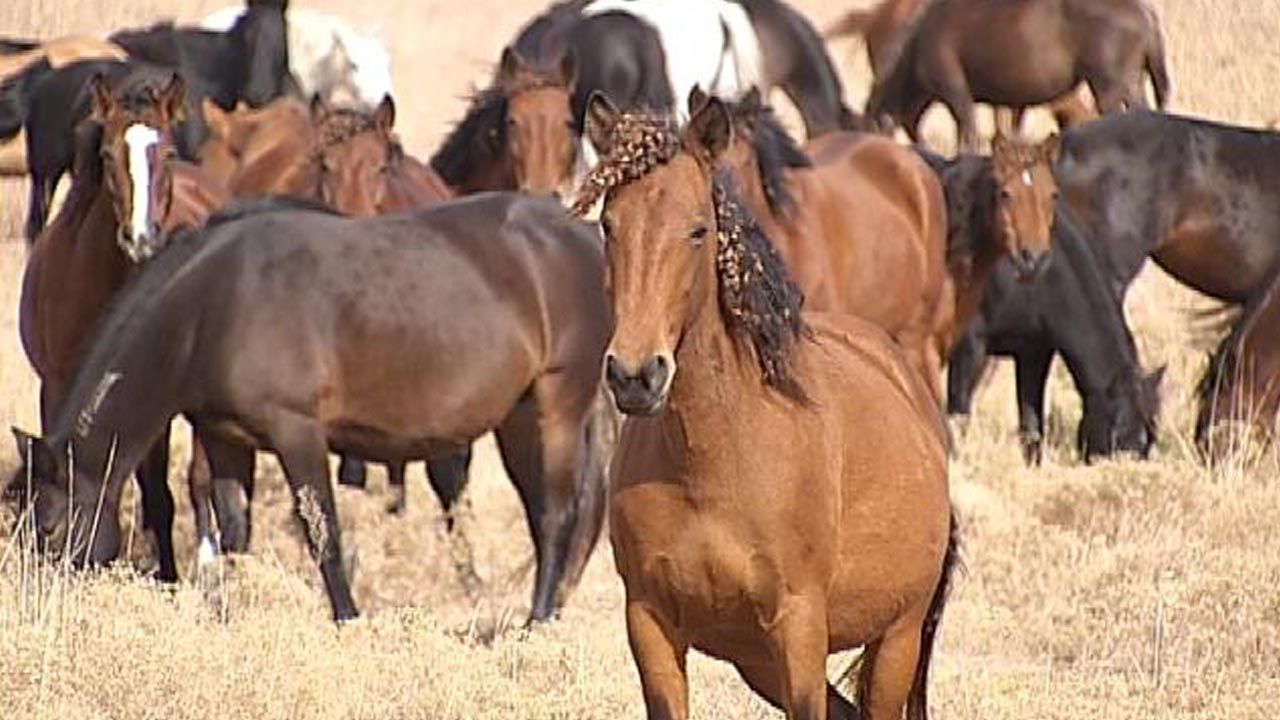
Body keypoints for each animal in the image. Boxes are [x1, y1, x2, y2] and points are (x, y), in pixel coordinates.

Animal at [8, 192, 614, 625]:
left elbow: (323, 531)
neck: (212, 303)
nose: (39, 611)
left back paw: (537, 624)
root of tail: (586, 234)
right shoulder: (224, 438)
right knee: (544, 513)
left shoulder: (297, 432)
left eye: (51, 528)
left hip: (558, 403)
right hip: (519, 417)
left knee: (558, 513)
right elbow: (235, 531)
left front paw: (348, 618)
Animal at [16, 73, 229, 582]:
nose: (140, 238)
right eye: (108, 154)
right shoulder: (55, 388)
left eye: (166, 152)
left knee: (197, 478)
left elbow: (166, 488)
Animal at [945, 204, 1162, 465]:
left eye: (1150, 442)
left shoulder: (1034, 352)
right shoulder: (969, 346)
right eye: (1119, 436)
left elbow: (1032, 425)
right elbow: (958, 414)